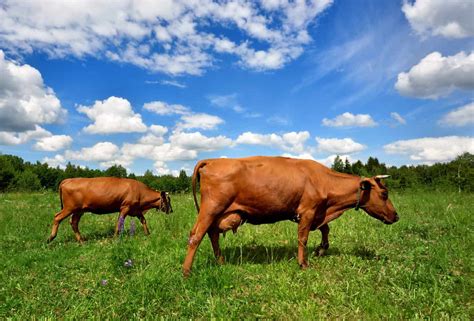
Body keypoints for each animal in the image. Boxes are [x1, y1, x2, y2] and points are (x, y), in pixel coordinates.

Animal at [183, 155, 398, 276]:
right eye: (384, 193)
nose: (396, 216)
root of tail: (212, 160)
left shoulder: (318, 211)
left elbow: (326, 229)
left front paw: (321, 249)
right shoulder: (308, 211)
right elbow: (303, 238)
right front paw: (303, 263)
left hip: (219, 213)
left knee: (212, 234)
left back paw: (221, 262)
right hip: (211, 208)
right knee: (196, 235)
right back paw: (186, 271)